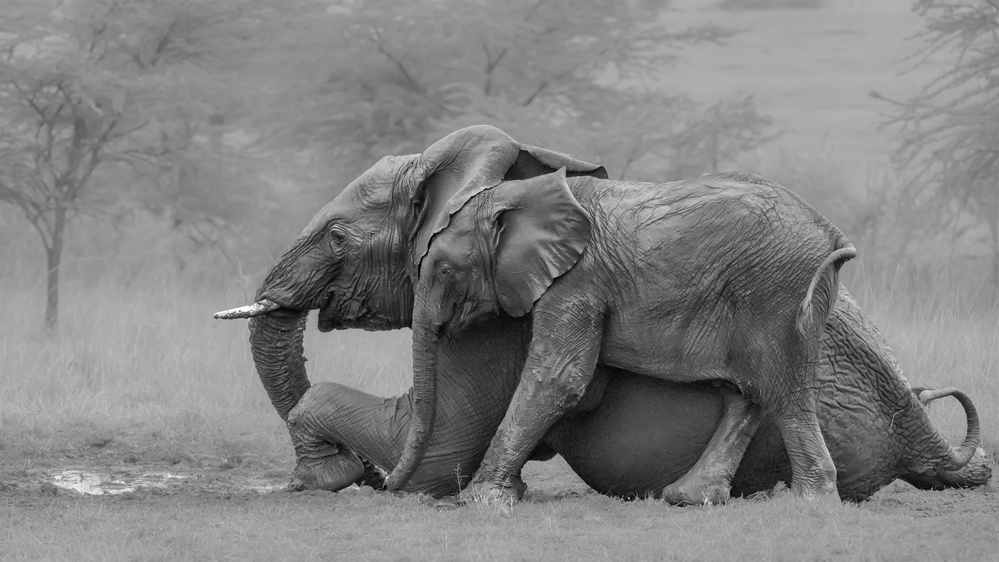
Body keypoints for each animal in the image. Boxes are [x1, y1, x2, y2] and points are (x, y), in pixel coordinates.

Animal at [215, 125, 983, 504]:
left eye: (337, 237)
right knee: (747, 389)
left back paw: (799, 503)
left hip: (779, 303)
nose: (376, 483)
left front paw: (344, 481)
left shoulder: (542, 299)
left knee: (776, 387)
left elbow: (443, 444)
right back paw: (690, 497)